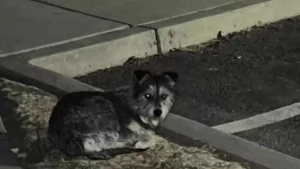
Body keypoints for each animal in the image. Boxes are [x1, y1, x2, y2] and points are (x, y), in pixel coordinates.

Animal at [47, 69, 178, 159]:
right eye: (147, 96)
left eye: (164, 96)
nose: (158, 112)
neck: (136, 106)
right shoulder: (125, 131)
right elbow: (151, 136)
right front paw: (140, 142)